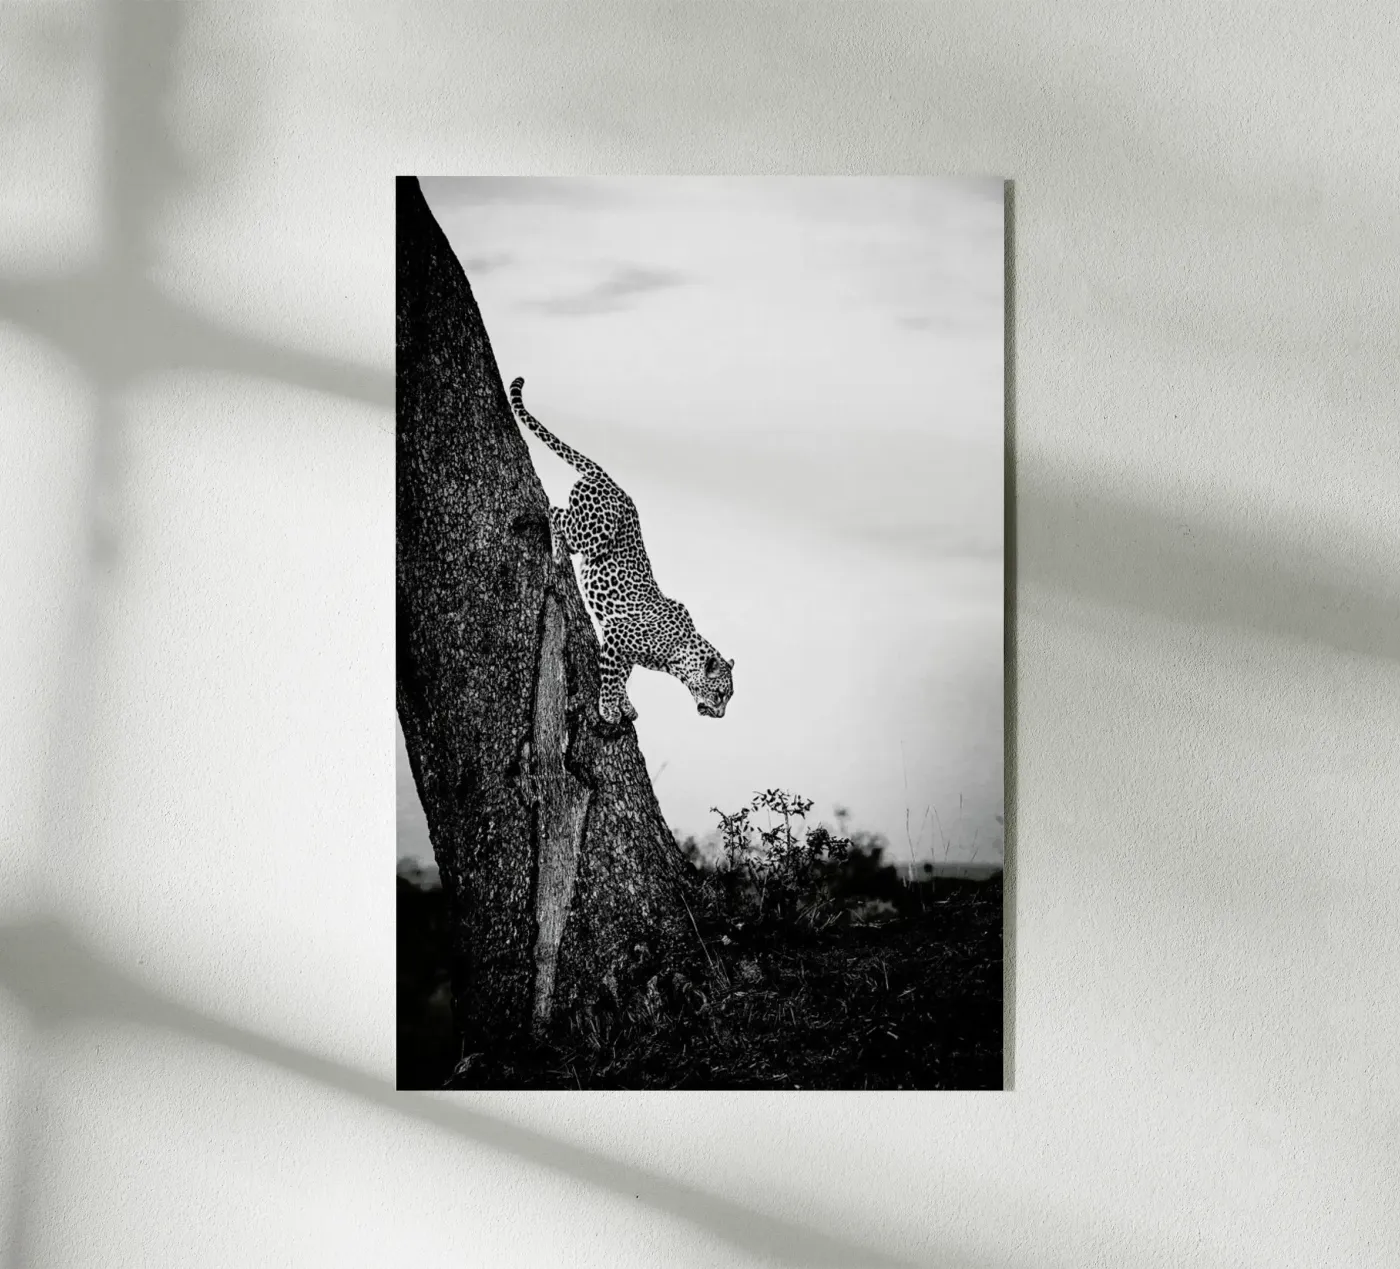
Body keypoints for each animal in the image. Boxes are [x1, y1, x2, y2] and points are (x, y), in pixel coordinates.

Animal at [510, 376, 735, 726]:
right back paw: (558, 553)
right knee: (555, 512)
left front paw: (624, 704)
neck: (678, 655)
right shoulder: (616, 636)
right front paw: (608, 708)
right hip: (596, 531)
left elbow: (621, 676)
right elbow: (611, 677)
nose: (721, 716)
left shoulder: (624, 649)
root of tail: (608, 478)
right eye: (721, 693)